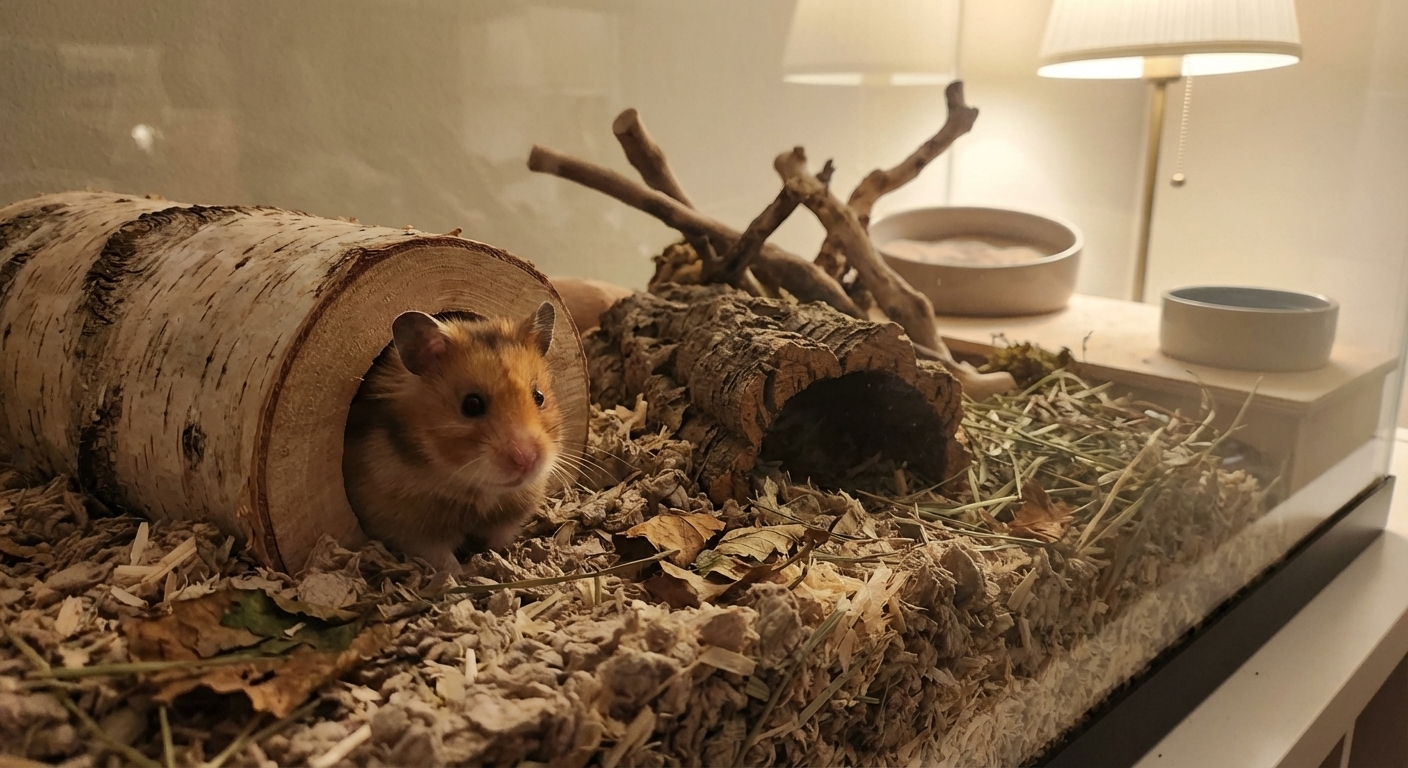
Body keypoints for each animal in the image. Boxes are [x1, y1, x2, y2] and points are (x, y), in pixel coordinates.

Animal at [343, 302, 564, 572]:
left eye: (539, 396)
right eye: (471, 405)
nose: (527, 460)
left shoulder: (511, 513)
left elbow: (499, 537)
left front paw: (495, 556)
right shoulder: (407, 526)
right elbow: (442, 558)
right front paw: (465, 572)